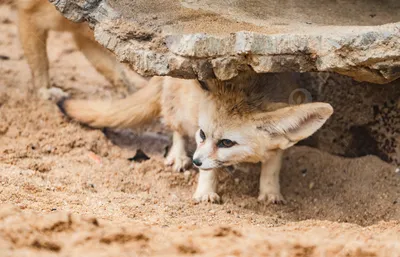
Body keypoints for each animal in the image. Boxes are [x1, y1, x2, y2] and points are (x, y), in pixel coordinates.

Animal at [59, 74, 332, 204]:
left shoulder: (278, 146)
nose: (196, 161)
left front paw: (270, 192)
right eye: (202, 135)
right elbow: (209, 172)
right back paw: (178, 156)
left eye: (226, 143)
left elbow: (272, 166)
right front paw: (205, 191)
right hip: (183, 110)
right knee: (175, 127)